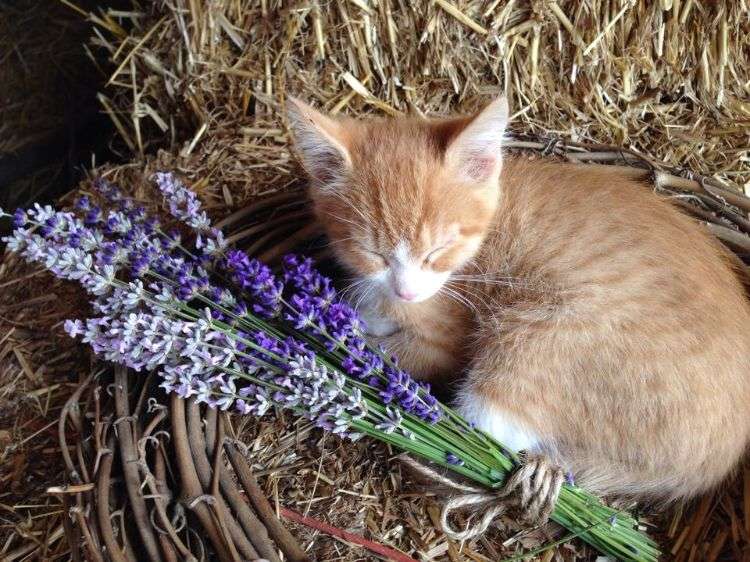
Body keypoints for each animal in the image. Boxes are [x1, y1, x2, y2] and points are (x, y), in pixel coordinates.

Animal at [286, 95, 750, 498]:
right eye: (374, 253)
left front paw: (342, 336)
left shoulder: (446, 334)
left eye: (438, 250)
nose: (407, 289)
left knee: (492, 425)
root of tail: (712, 463)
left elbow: (394, 350)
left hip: (542, 337)